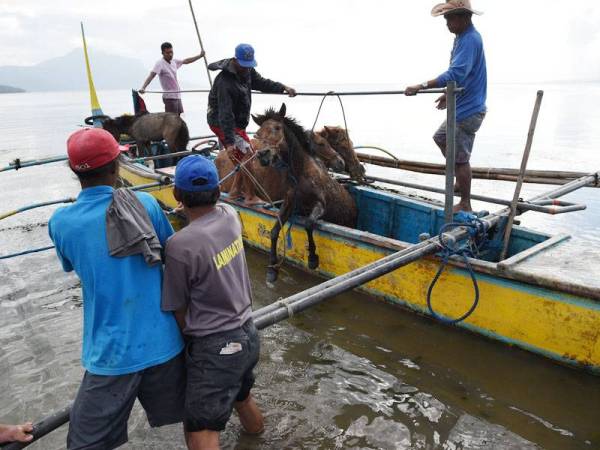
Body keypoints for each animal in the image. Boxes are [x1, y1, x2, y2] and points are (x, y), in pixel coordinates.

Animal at [250, 104, 354, 284]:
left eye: (277, 128)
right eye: (258, 132)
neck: (300, 173)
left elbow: (308, 224)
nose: (263, 155)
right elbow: (274, 231)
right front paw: (272, 269)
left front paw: (312, 258)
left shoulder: (320, 205)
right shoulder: (289, 203)